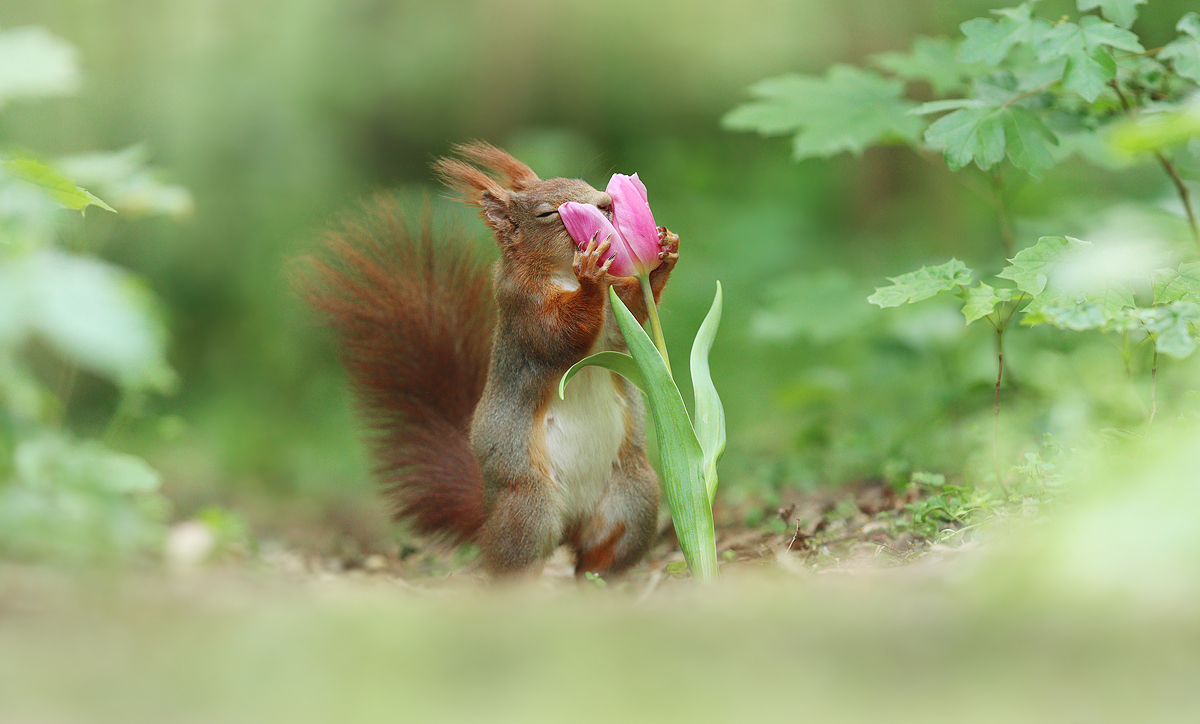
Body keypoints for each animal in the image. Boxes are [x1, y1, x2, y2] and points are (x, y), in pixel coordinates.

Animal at [304, 142, 681, 578]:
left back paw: (600, 581)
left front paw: (665, 250)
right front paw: (590, 275)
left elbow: (630, 316)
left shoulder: (616, 315)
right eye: (549, 213)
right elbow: (557, 336)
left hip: (632, 497)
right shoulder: (521, 306)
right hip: (529, 509)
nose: (606, 203)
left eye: (585, 183)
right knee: (508, 562)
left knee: (597, 556)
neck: (561, 272)